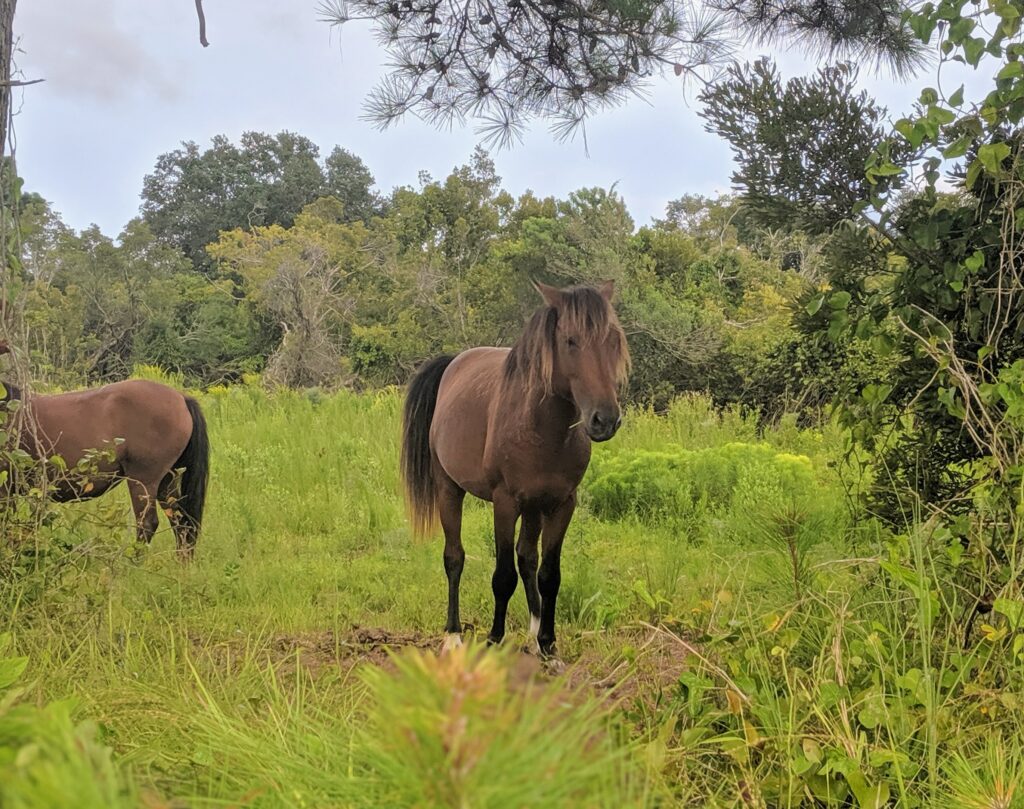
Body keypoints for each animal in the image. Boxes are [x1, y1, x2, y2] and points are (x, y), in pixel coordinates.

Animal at [0, 342, 209, 557]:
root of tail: (181, 398)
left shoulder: (5, 488)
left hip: (144, 479)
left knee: (148, 523)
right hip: (168, 480)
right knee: (182, 523)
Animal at [401, 282, 626, 659]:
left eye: (612, 339)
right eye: (570, 340)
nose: (604, 419)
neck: (542, 429)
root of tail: (454, 363)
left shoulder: (561, 504)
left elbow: (549, 574)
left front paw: (548, 644)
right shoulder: (505, 503)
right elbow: (502, 576)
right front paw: (494, 639)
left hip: (534, 507)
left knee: (528, 559)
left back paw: (533, 633)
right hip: (449, 489)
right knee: (455, 558)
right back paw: (453, 635)